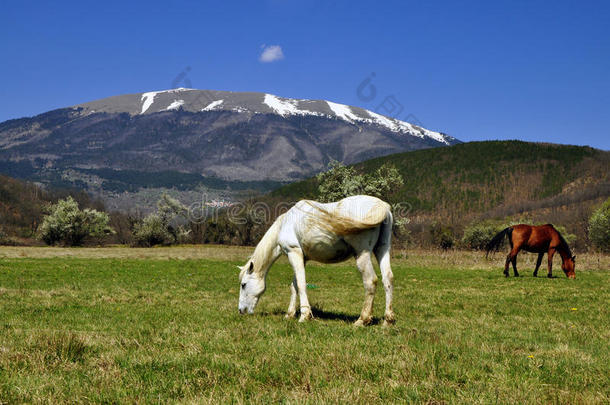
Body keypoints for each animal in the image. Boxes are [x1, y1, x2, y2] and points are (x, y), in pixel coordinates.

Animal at [235, 195, 392, 326]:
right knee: (387, 279)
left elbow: (301, 284)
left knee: (370, 281)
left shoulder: (294, 253)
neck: (286, 223)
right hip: (382, 250)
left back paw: (362, 320)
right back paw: (388, 320)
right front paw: (289, 315)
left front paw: (304, 316)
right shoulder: (300, 258)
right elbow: (294, 286)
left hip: (362, 254)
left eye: (243, 285)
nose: (241, 310)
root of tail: (383, 207)